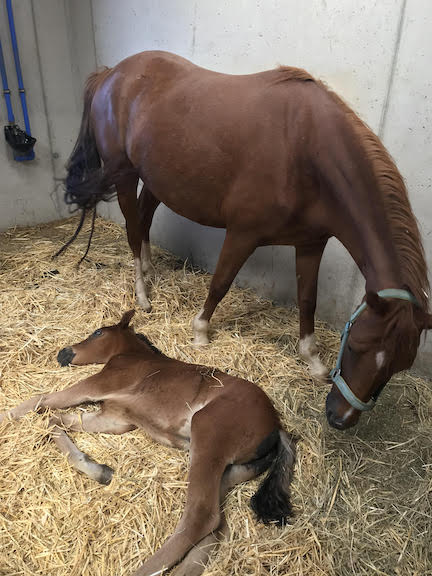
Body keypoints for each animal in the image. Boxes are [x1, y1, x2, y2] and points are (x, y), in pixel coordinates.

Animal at [0, 310, 296, 576]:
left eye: (98, 332)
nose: (64, 353)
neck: (133, 357)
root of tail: (277, 427)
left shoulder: (99, 384)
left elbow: (40, 400)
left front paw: (6, 416)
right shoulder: (114, 418)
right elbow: (54, 420)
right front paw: (101, 471)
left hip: (209, 436)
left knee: (201, 516)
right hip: (231, 471)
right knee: (218, 524)